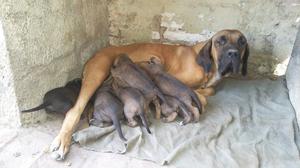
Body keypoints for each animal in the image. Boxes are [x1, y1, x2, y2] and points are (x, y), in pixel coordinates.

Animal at [50, 29, 250, 159]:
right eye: (220, 41)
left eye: (241, 41)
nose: (233, 53)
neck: (208, 64)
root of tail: (94, 55)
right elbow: (200, 95)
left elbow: (208, 90)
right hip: (97, 74)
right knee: (75, 110)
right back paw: (63, 140)